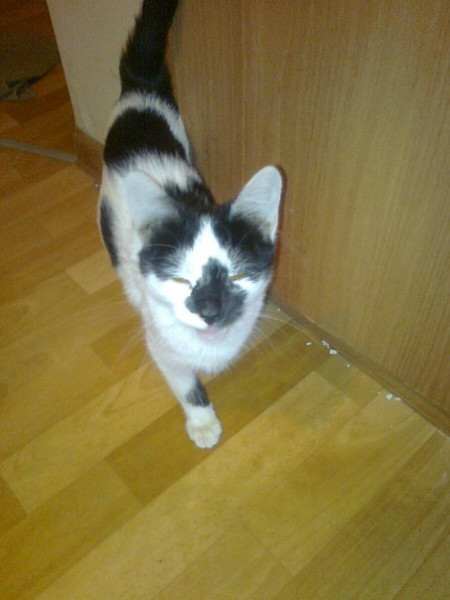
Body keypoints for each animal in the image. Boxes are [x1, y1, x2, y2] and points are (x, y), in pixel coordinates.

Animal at [99, 0, 283, 448]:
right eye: (181, 280)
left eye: (236, 275)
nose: (211, 312)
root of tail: (140, 93)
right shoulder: (160, 342)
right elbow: (183, 382)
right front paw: (202, 422)